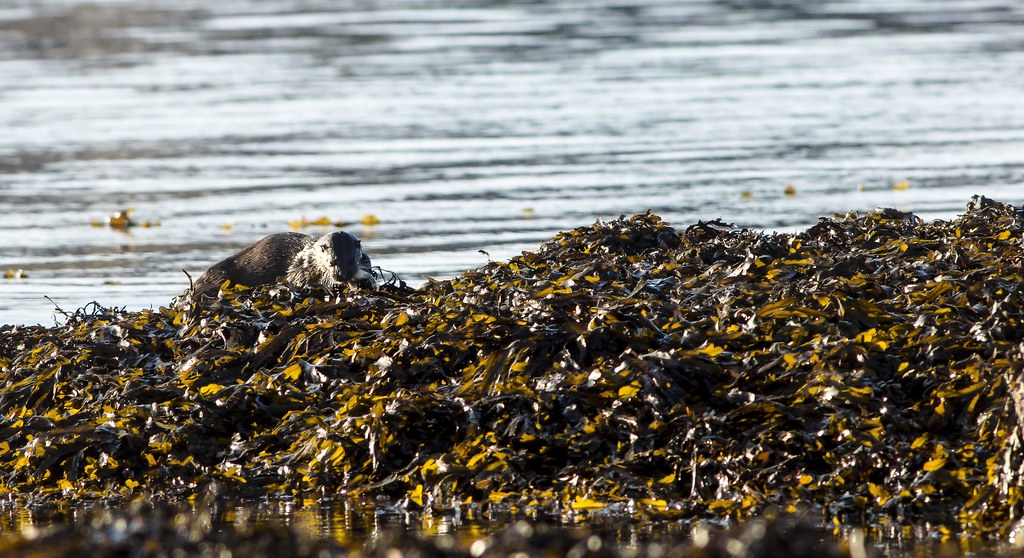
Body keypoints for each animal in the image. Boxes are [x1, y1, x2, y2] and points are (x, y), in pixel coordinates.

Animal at [191, 231, 378, 298]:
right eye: (332, 262)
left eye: (352, 261)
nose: (342, 275)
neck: (309, 254)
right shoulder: (299, 265)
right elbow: (296, 278)